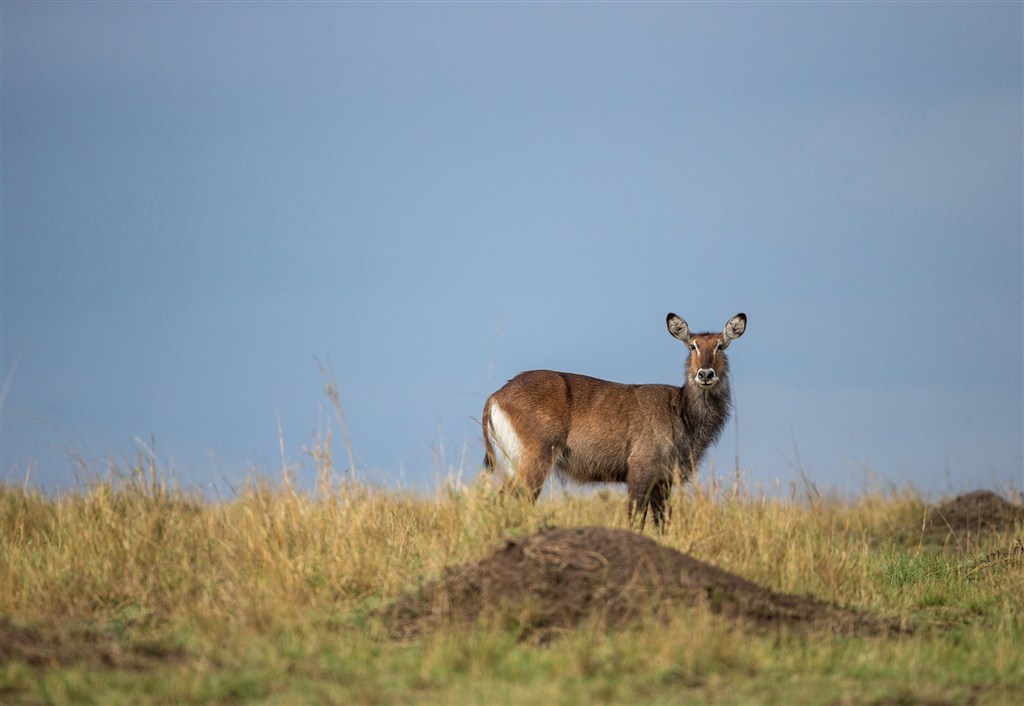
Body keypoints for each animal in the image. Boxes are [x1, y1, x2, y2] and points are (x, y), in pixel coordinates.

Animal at [479, 311, 745, 524]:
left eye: (720, 346)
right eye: (693, 346)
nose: (705, 374)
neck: (681, 411)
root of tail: (496, 395)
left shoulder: (663, 481)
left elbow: (663, 523)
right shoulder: (640, 472)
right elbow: (635, 519)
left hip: (513, 464)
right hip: (532, 464)